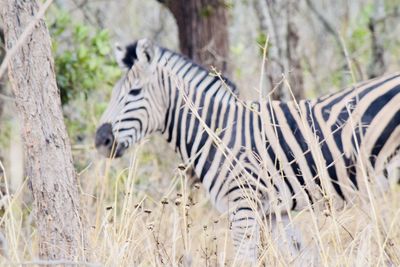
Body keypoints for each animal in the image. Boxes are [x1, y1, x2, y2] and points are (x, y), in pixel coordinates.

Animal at [96, 38, 400, 264]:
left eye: (134, 92)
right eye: (112, 93)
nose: (100, 140)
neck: (217, 132)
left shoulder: (244, 204)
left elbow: (245, 259)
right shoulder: (274, 213)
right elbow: (302, 256)